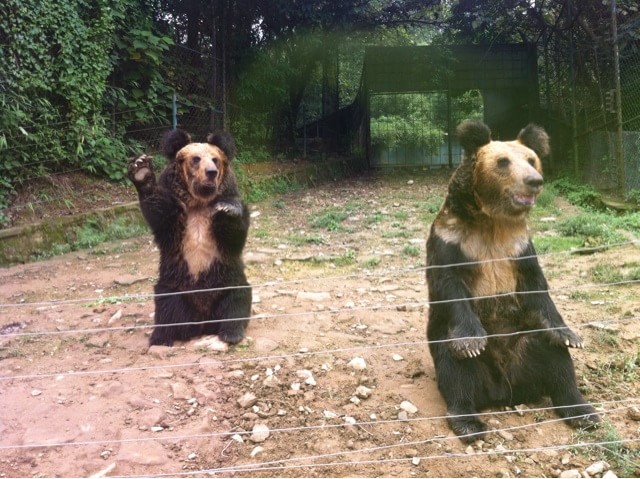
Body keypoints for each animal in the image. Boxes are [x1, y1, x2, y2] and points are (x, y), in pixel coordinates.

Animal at [129, 128, 251, 344]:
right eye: (196, 159)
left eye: (215, 159)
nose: (211, 172)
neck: (199, 203)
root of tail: (203, 322)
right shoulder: (176, 219)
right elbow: (157, 210)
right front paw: (141, 170)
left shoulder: (221, 213)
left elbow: (235, 235)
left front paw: (227, 209)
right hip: (177, 286)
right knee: (168, 307)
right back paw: (162, 337)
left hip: (226, 281)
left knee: (236, 300)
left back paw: (231, 332)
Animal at [424, 119, 600, 442]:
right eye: (503, 162)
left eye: (531, 159)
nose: (534, 180)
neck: (494, 221)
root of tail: (504, 391)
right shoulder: (452, 239)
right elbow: (450, 285)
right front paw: (472, 342)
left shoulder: (518, 247)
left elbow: (537, 286)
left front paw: (572, 336)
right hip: (449, 345)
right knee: (457, 375)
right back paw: (469, 422)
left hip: (525, 341)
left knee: (556, 360)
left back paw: (583, 411)